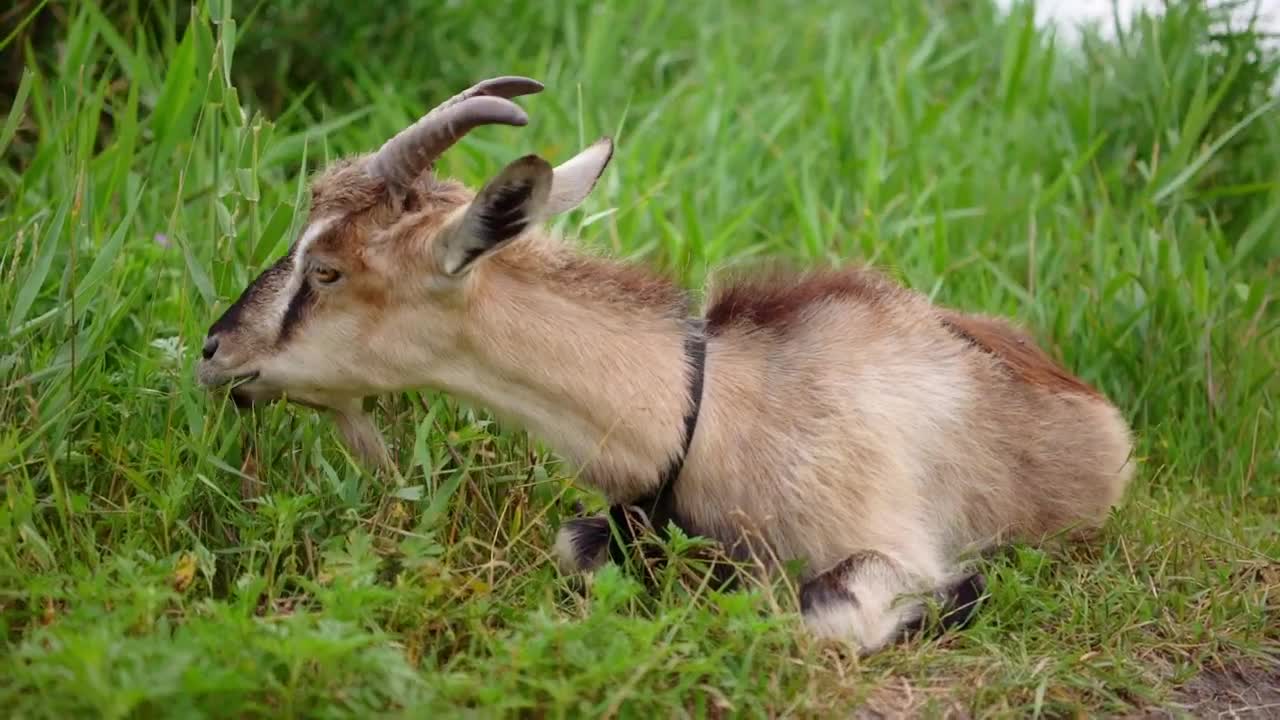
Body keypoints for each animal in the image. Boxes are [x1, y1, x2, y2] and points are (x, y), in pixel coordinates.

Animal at [197, 76, 1136, 654]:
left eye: (327, 269)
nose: (215, 352)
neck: (712, 406)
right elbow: (574, 545)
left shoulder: (895, 542)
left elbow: (830, 612)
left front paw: (965, 595)